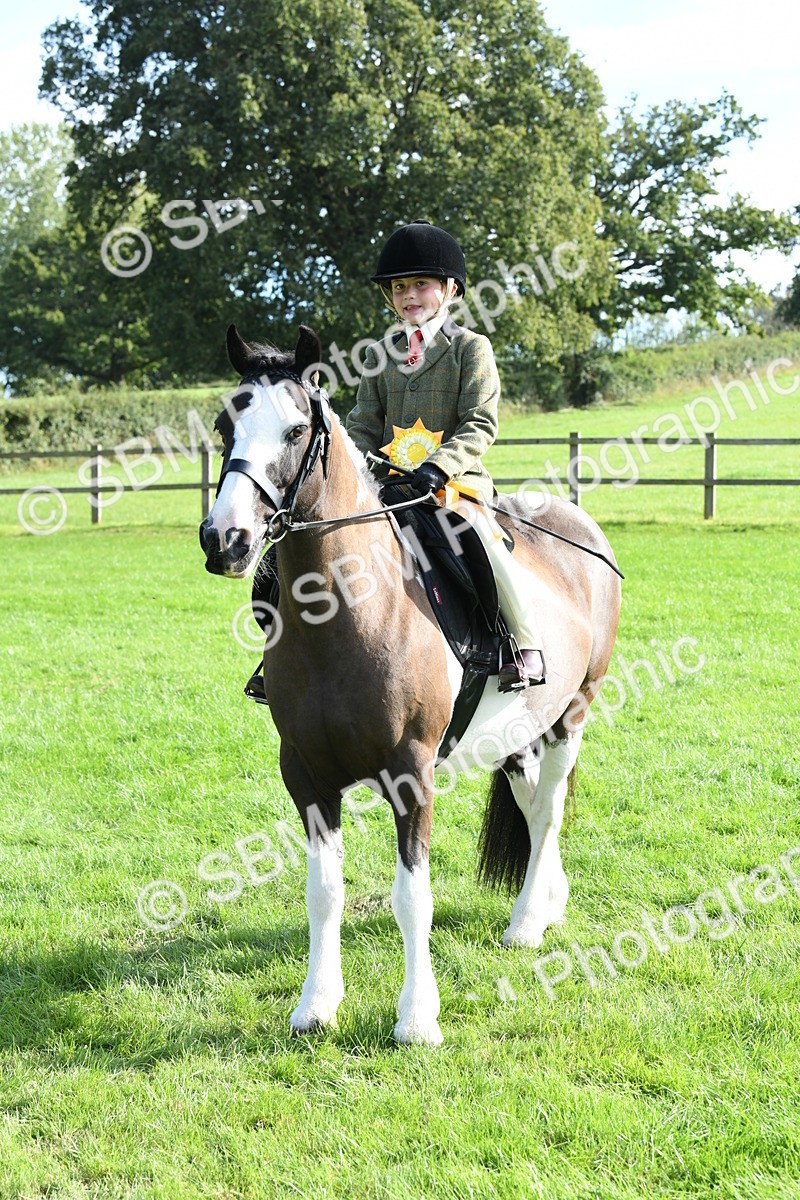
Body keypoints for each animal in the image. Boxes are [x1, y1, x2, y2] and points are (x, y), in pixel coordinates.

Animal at [199, 323, 621, 1046]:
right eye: (228, 422)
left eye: (294, 429)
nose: (225, 539)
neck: (351, 611)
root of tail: (580, 527)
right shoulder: (305, 774)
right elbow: (323, 892)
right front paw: (317, 1005)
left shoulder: (410, 773)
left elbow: (411, 895)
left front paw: (418, 1018)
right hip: (516, 730)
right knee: (533, 806)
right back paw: (547, 903)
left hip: (572, 711)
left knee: (549, 808)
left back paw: (525, 923)